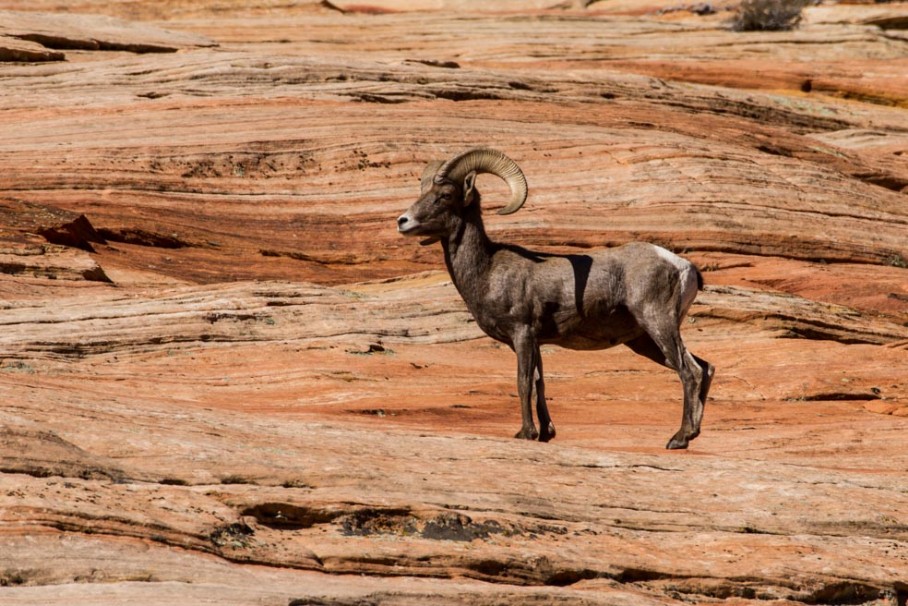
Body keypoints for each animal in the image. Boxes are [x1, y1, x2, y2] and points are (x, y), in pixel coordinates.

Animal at [400, 149, 712, 448]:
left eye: (445, 195)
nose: (402, 221)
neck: (487, 269)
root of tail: (683, 266)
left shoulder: (523, 334)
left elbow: (523, 382)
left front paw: (526, 434)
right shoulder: (535, 342)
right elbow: (540, 383)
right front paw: (546, 434)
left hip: (657, 324)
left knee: (690, 372)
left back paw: (678, 439)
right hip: (643, 340)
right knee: (705, 368)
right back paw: (693, 433)